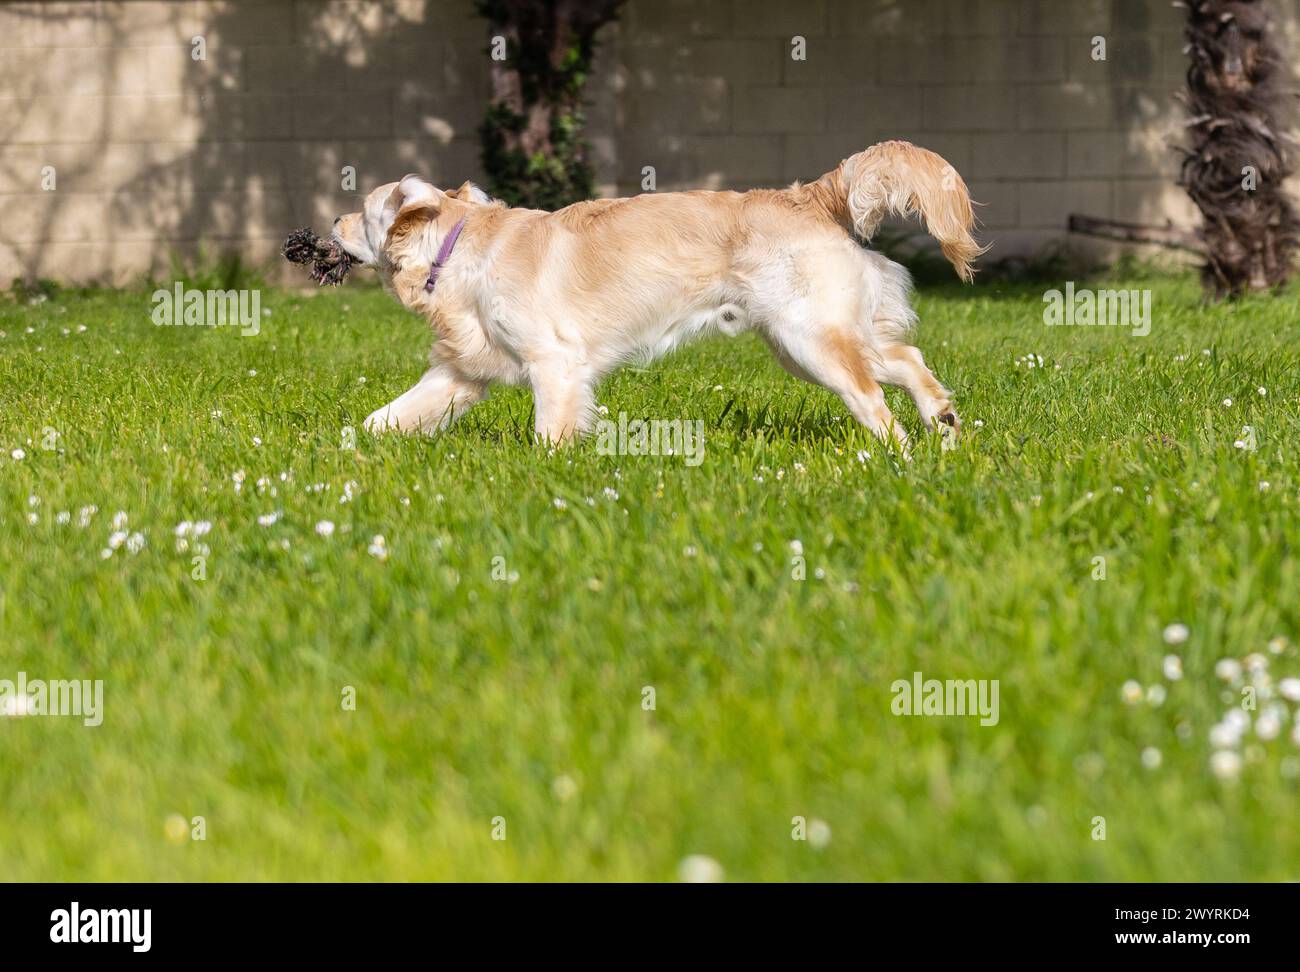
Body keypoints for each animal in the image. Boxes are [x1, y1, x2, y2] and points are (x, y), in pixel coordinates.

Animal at [330, 139, 977, 447]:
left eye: (362, 211)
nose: (331, 223)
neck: (461, 248)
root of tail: (807, 194)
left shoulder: (554, 363)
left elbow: (549, 433)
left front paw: (546, 471)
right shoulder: (460, 372)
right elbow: (385, 417)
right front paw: (343, 449)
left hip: (809, 339)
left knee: (873, 397)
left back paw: (896, 454)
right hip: (804, 341)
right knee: (905, 357)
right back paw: (943, 425)